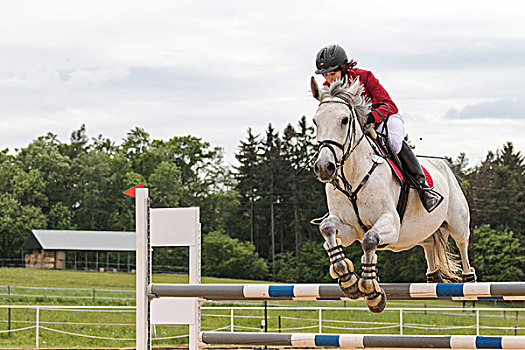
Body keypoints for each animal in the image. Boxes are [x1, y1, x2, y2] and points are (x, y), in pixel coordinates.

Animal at [310, 78, 476, 314]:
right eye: (316, 121)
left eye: (344, 120)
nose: (324, 167)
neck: (353, 177)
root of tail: (443, 164)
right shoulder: (349, 228)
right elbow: (327, 229)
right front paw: (347, 276)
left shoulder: (390, 223)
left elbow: (370, 240)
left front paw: (371, 291)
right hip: (421, 229)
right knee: (428, 242)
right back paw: (433, 277)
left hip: (457, 221)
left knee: (462, 242)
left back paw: (469, 280)